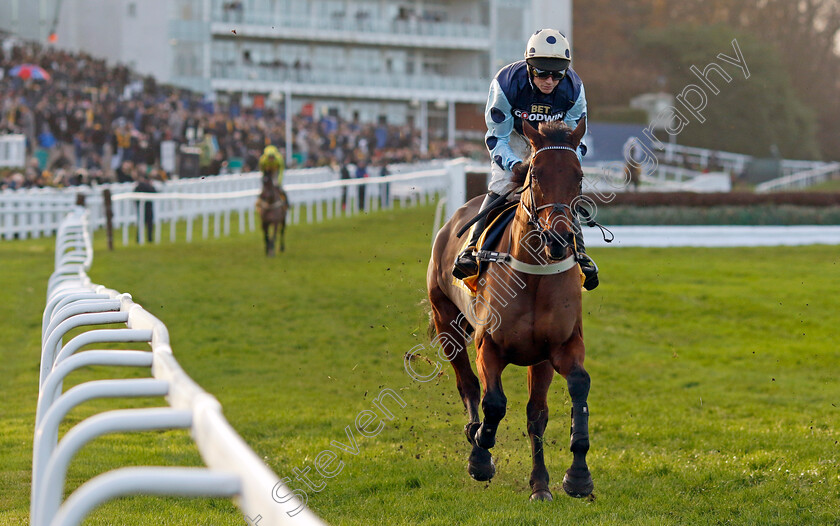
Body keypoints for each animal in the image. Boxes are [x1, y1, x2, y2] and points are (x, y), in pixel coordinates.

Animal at [430, 118, 592, 504]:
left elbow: (571, 391)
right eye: (536, 174)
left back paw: (540, 483)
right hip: (446, 324)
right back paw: (475, 438)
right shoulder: (488, 346)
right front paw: (480, 452)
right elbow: (494, 402)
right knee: (468, 385)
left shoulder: (559, 348)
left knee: (535, 413)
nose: (559, 240)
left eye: (578, 176)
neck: (532, 276)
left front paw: (575, 475)